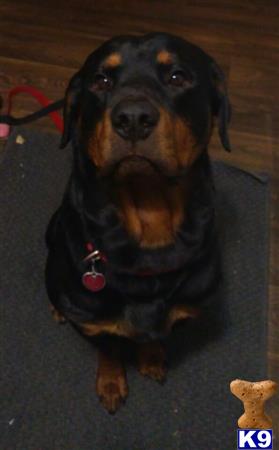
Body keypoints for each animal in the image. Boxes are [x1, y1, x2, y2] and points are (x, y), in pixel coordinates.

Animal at [44, 30, 231, 412]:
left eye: (177, 76)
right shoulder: (94, 321)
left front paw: (151, 357)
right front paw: (111, 382)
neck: (149, 211)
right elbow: (109, 347)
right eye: (100, 81)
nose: (132, 117)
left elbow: (154, 334)